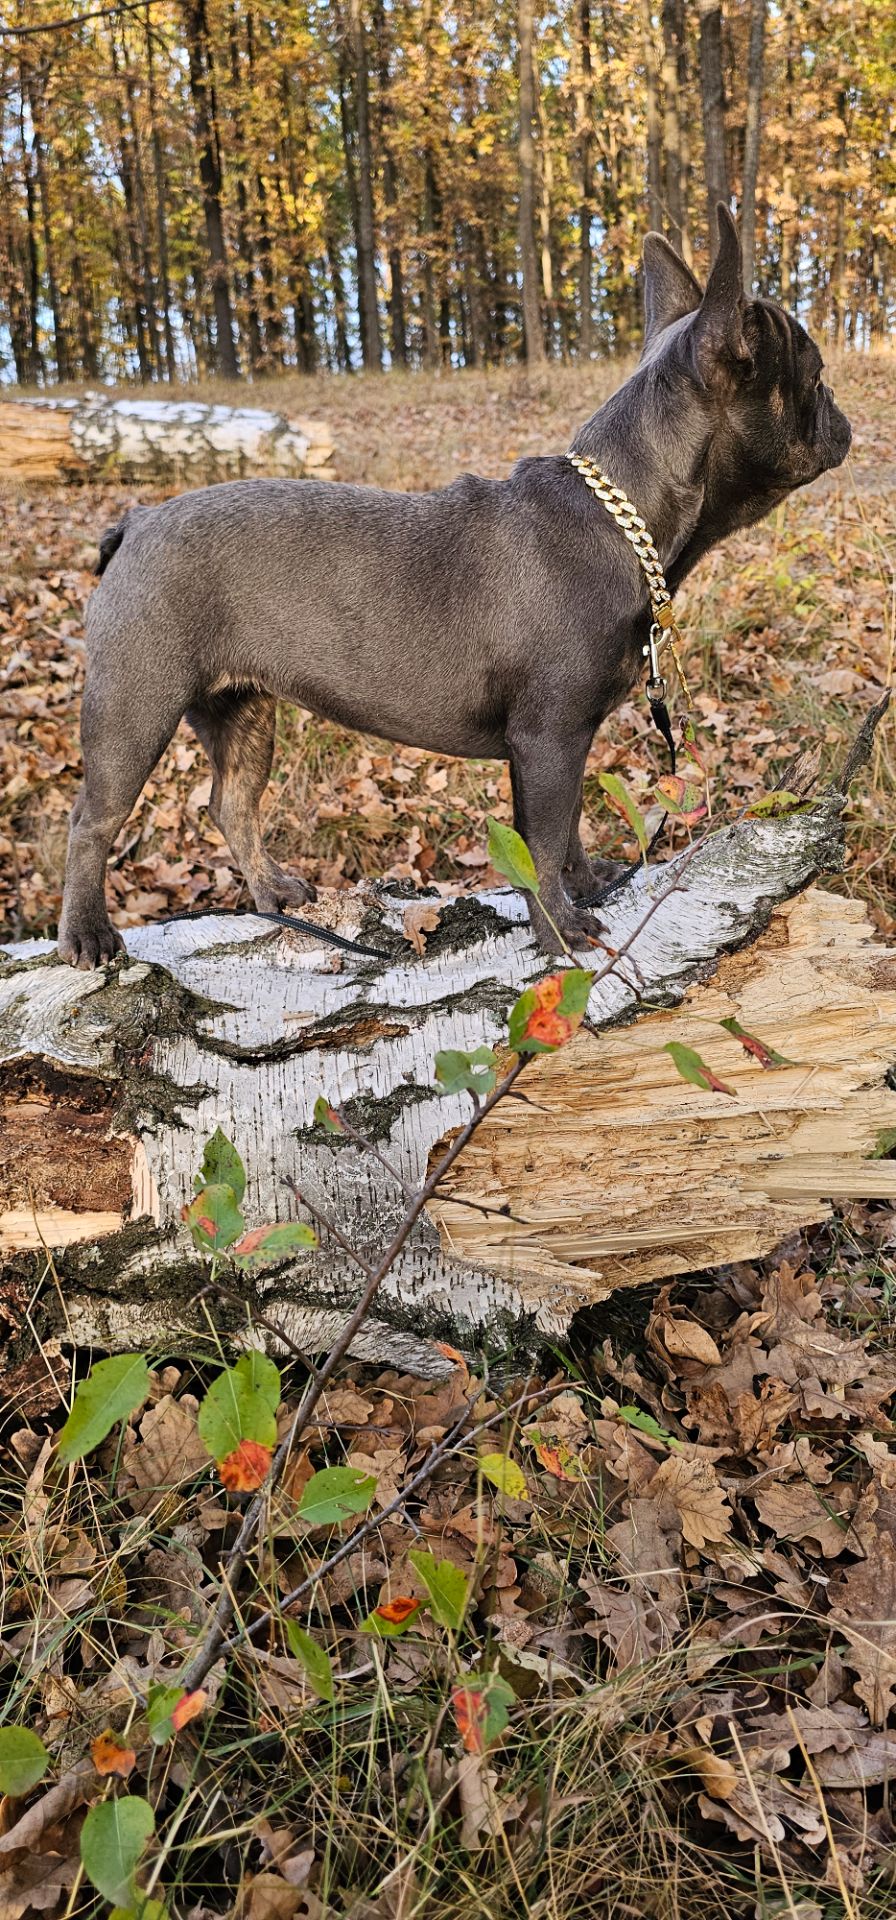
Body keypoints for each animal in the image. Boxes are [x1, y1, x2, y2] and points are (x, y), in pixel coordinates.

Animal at [59, 210, 851, 967]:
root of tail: (136, 522)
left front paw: (588, 883)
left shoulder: (566, 739)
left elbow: (566, 826)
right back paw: (88, 934)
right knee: (93, 819)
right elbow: (542, 841)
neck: (620, 513)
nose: (841, 416)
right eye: (814, 377)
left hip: (244, 710)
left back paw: (272, 891)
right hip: (137, 704)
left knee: (233, 803)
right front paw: (561, 927)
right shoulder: (548, 737)